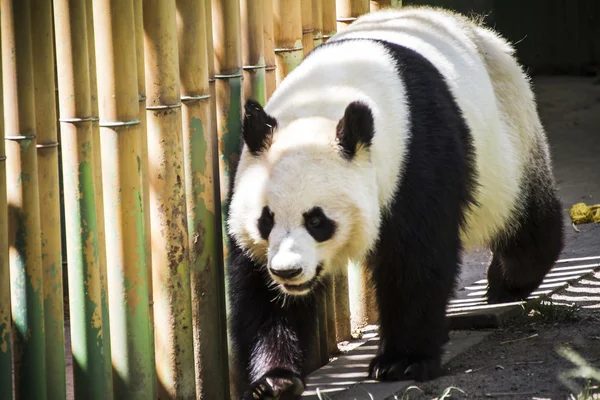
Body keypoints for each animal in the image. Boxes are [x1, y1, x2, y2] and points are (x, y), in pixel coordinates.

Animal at [225, 6, 564, 400]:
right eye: (266, 220)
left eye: (317, 221)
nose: (288, 271)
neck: (325, 99)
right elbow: (259, 288)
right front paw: (274, 379)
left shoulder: (416, 154)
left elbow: (416, 258)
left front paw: (403, 361)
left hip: (507, 137)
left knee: (523, 214)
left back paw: (508, 280)